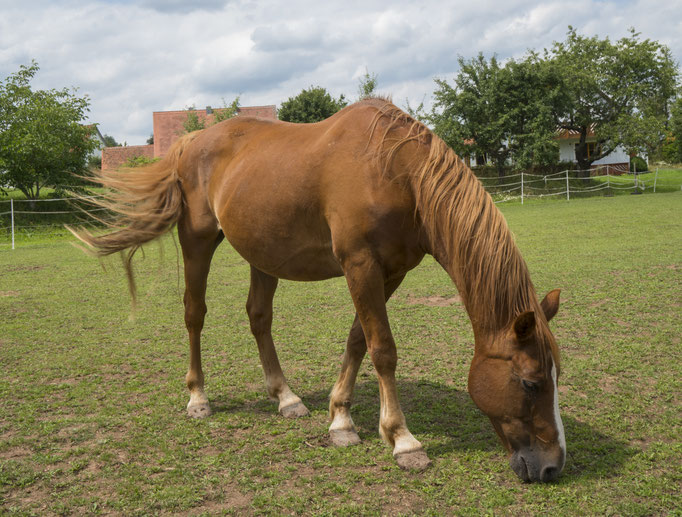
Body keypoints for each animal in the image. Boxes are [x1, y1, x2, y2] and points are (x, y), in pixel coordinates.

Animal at [71, 99, 564, 482]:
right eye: (530, 382)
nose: (553, 466)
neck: (396, 172)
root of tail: (190, 142)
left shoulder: (391, 272)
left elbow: (359, 340)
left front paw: (341, 419)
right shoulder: (360, 265)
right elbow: (384, 349)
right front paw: (402, 440)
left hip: (263, 255)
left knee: (259, 317)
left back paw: (286, 397)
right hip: (197, 242)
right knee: (195, 314)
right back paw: (198, 397)